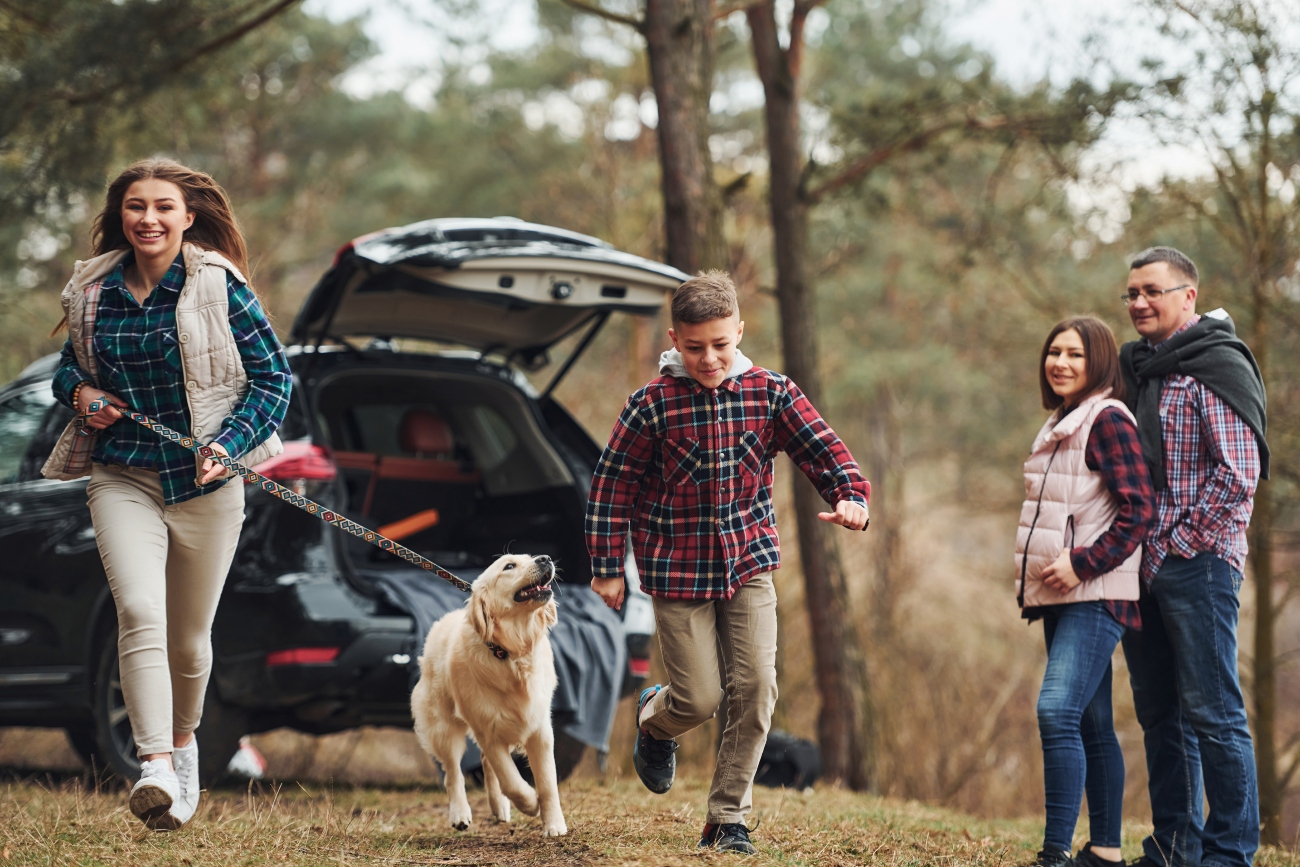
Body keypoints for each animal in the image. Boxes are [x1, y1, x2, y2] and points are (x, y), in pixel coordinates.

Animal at [408, 553, 566, 837]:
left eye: (529, 557)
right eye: (509, 566)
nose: (545, 558)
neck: (511, 654)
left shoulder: (539, 728)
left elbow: (548, 782)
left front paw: (554, 825)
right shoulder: (488, 731)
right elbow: (511, 780)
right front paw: (530, 802)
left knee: (483, 763)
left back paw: (499, 807)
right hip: (442, 726)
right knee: (453, 773)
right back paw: (460, 814)